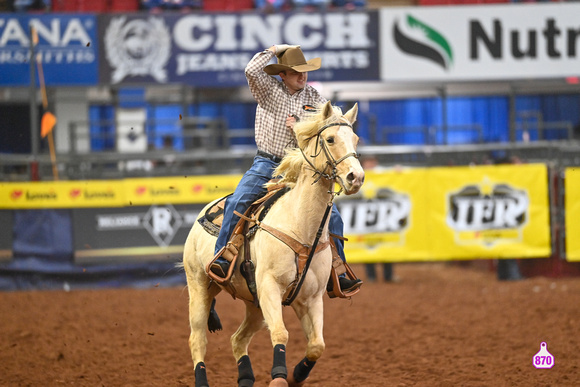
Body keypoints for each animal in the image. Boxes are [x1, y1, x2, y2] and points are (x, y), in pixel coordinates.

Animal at [182, 101, 362, 386]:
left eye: (354, 139)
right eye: (330, 139)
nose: (356, 177)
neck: (299, 227)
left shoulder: (310, 298)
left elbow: (317, 345)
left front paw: (297, 376)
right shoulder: (269, 287)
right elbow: (280, 333)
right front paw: (278, 376)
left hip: (253, 303)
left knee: (237, 339)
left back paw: (246, 377)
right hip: (199, 286)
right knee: (197, 339)